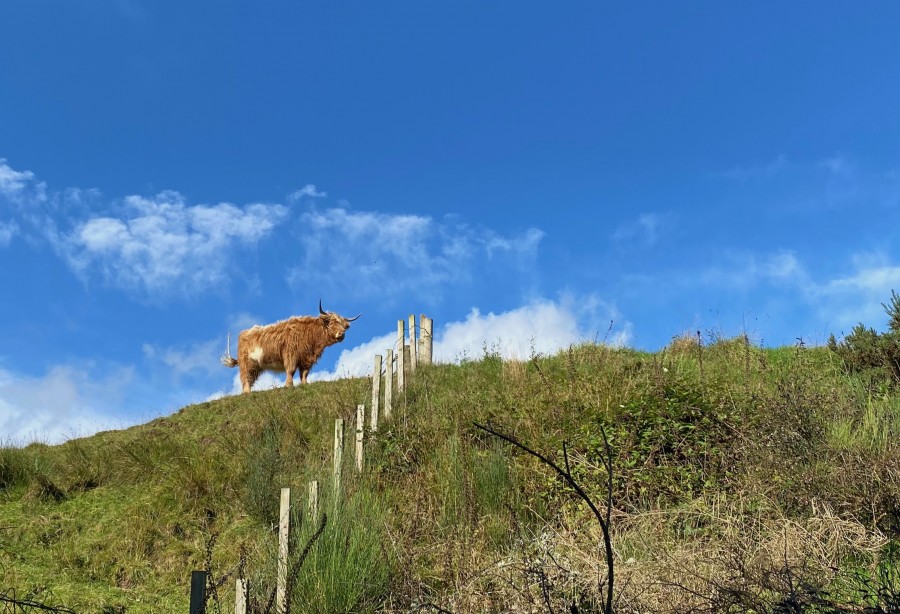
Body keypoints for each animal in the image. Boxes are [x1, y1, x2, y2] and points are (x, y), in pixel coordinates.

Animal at [221, 301, 361, 393]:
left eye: (343, 325)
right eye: (331, 323)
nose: (341, 334)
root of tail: (244, 333)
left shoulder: (306, 359)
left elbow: (304, 373)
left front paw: (304, 384)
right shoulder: (291, 355)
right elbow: (291, 370)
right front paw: (289, 385)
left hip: (256, 365)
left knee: (250, 378)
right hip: (247, 363)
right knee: (246, 378)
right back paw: (247, 393)